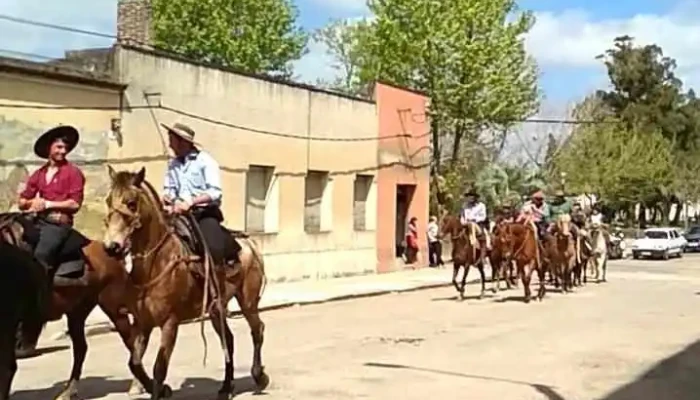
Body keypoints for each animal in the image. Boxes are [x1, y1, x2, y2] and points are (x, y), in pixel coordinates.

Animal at [102, 167, 270, 400]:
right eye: (109, 201)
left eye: (131, 203)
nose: (112, 247)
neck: (158, 262)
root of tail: (249, 243)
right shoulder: (143, 322)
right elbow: (134, 363)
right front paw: (158, 388)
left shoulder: (170, 323)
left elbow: (159, 367)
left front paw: (159, 389)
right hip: (217, 309)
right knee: (228, 340)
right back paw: (226, 387)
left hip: (248, 302)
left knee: (257, 330)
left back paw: (259, 376)